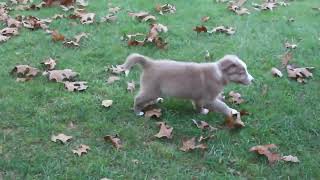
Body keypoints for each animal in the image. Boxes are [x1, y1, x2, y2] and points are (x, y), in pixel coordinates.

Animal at [121, 53, 254, 116]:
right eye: (242, 72)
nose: (253, 80)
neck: (219, 73)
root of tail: (149, 63)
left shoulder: (199, 98)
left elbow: (198, 105)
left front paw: (201, 112)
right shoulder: (209, 99)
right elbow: (222, 105)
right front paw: (232, 112)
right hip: (151, 90)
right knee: (138, 98)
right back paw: (138, 112)